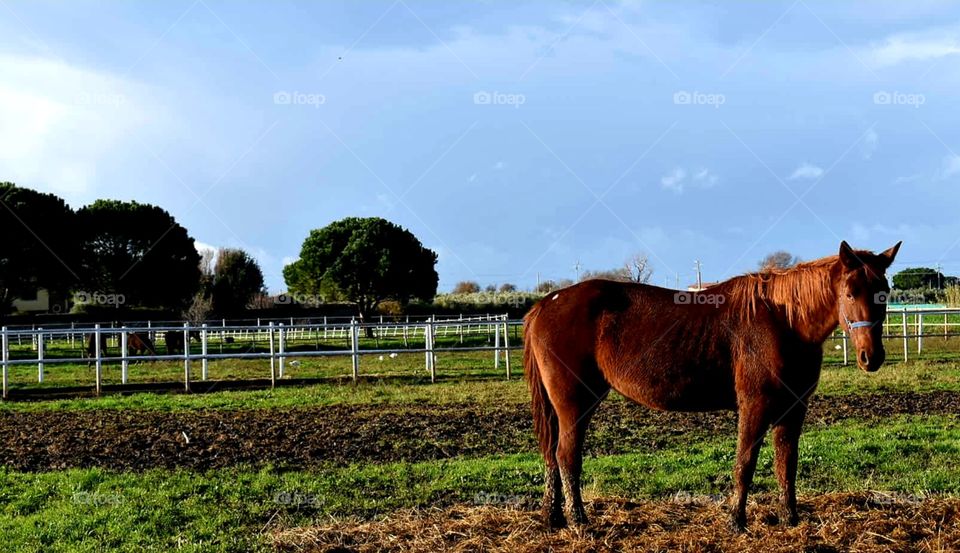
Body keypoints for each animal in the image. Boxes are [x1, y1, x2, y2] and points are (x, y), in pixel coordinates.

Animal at [523, 241, 901, 531]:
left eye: (884, 293)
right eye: (850, 292)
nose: (871, 357)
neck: (783, 321)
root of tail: (546, 303)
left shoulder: (794, 408)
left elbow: (786, 464)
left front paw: (789, 518)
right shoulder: (755, 405)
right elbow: (745, 463)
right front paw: (736, 521)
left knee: (553, 455)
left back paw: (554, 518)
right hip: (575, 401)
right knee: (566, 455)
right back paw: (578, 521)